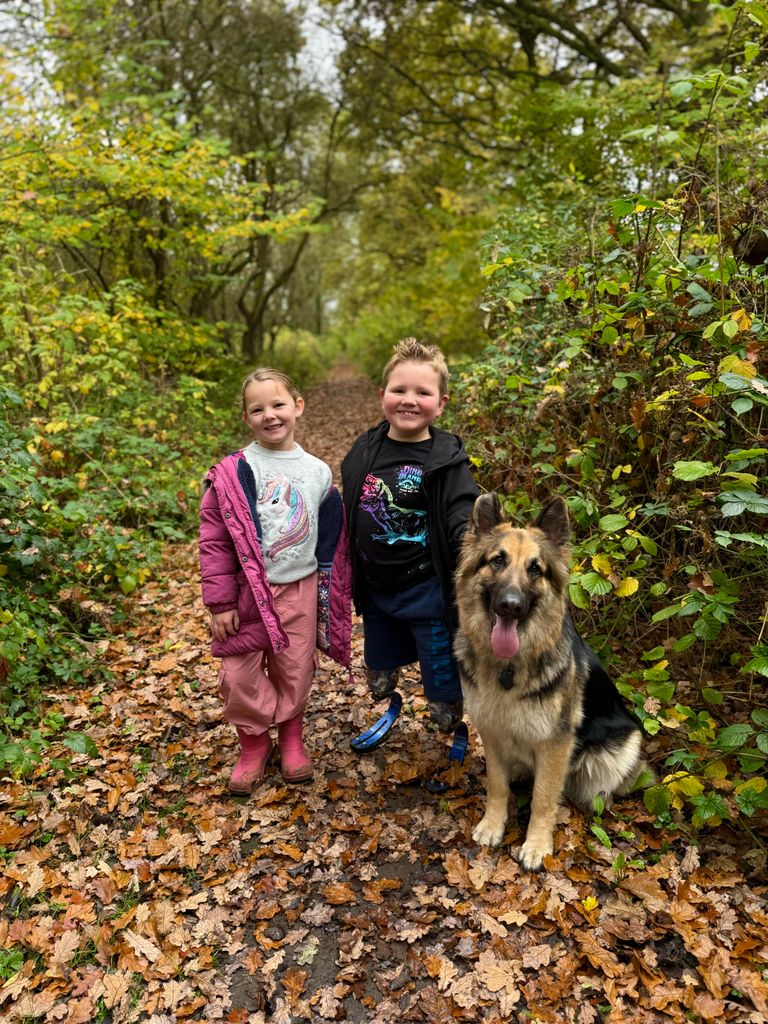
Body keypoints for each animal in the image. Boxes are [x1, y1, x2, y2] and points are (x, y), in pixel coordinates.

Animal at [454, 495, 647, 872]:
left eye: (535, 569)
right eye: (497, 561)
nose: (510, 606)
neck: (509, 668)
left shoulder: (555, 744)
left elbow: (543, 798)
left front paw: (536, 845)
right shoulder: (492, 733)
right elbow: (496, 785)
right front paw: (493, 824)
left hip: (622, 743)